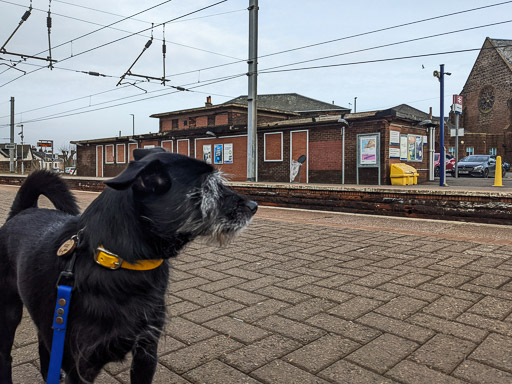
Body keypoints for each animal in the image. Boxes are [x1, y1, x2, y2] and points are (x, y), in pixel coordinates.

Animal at [0, 148, 256, 382]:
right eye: (207, 187)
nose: (253, 205)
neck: (119, 262)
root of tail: (21, 212)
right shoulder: (80, 368)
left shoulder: (146, 352)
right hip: (9, 313)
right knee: (6, 356)